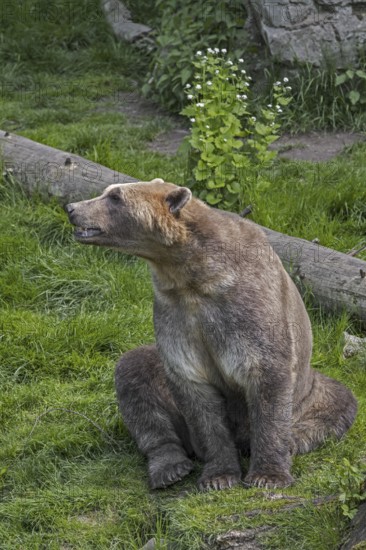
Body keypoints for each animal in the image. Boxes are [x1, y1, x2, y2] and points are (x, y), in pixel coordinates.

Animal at [66, 178, 358, 492]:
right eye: (108, 191)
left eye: (115, 197)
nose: (72, 208)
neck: (192, 274)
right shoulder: (177, 314)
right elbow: (197, 395)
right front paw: (219, 476)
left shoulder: (246, 308)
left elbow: (268, 374)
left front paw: (268, 476)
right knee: (134, 374)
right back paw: (170, 468)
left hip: (308, 394)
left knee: (338, 403)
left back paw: (292, 441)